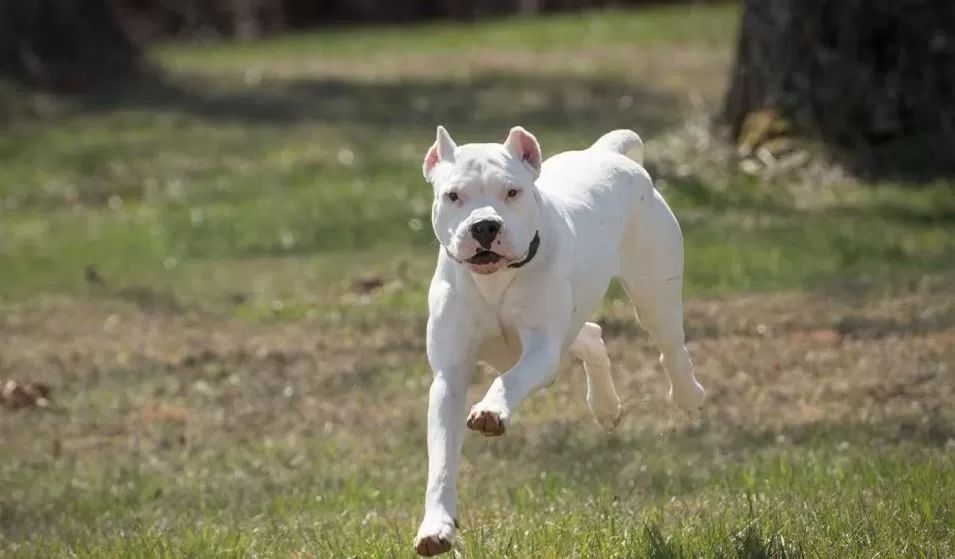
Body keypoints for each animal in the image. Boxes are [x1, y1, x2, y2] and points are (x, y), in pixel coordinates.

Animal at [414, 124, 704, 556]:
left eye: (512, 192)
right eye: (453, 195)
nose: (485, 226)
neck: (496, 280)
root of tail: (608, 152)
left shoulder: (541, 349)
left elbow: (510, 379)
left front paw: (491, 410)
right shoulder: (449, 377)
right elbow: (442, 461)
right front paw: (436, 528)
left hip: (655, 294)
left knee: (672, 348)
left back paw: (687, 396)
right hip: (576, 320)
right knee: (592, 337)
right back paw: (606, 406)